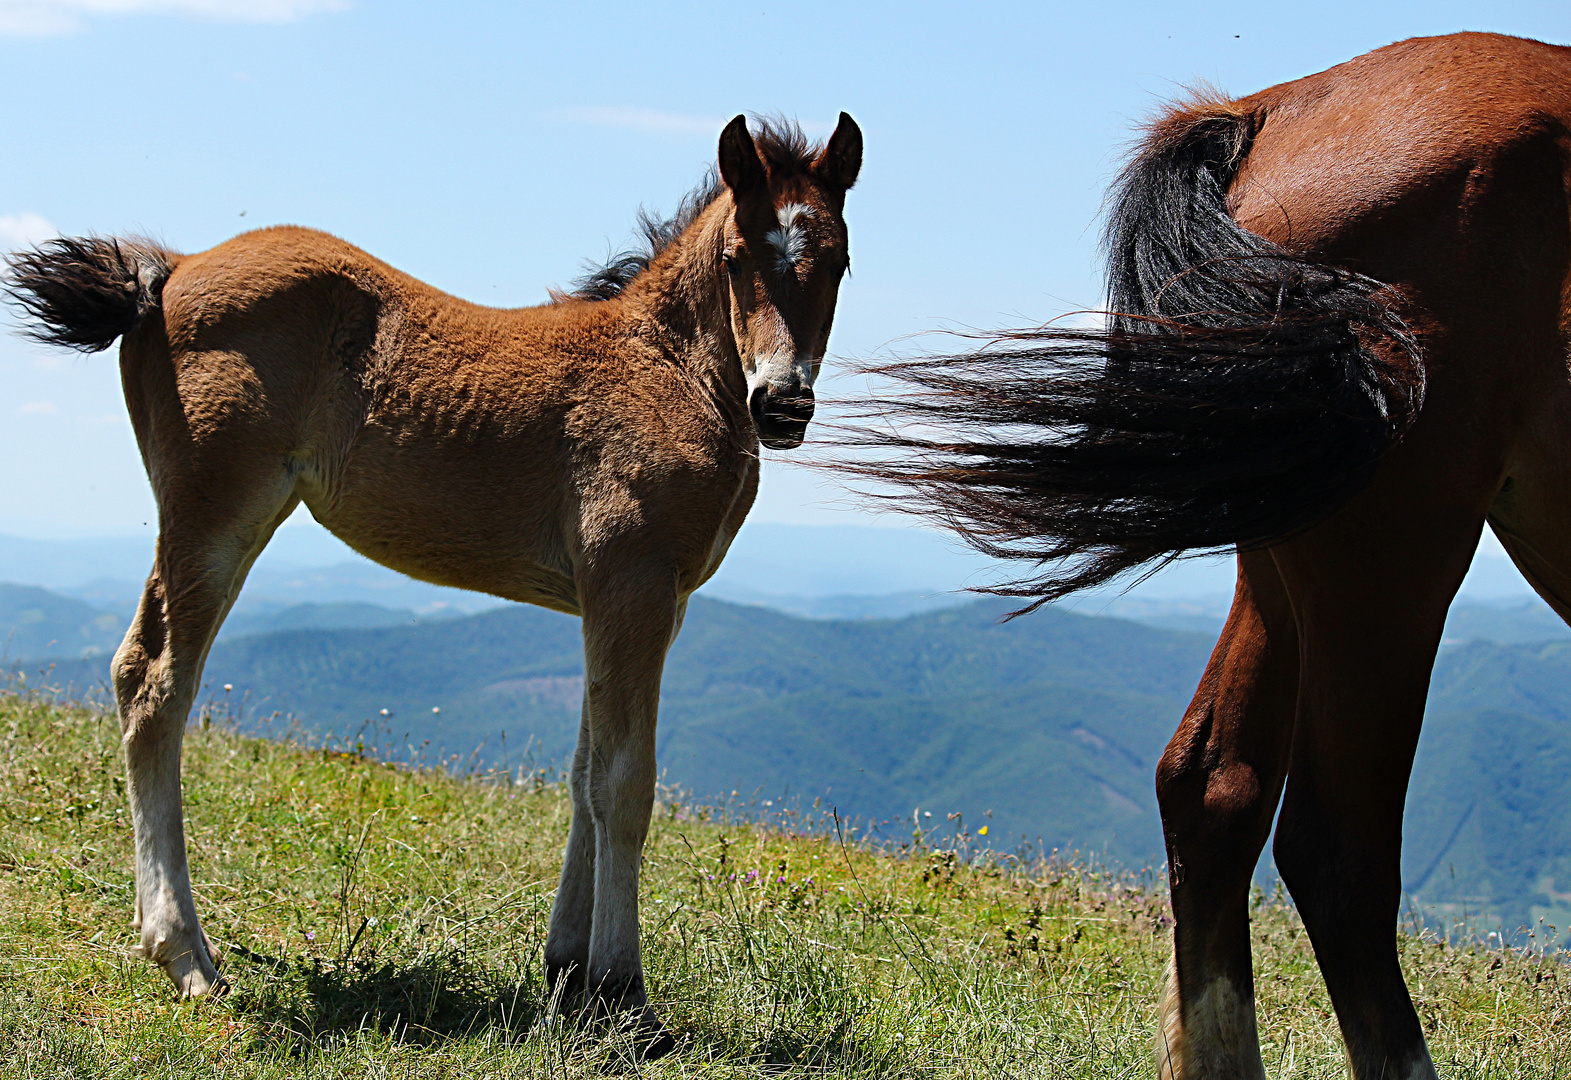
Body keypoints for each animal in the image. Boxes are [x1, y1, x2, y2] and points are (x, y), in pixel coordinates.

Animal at [6, 111, 860, 1050]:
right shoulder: (631, 585)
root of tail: (173, 267)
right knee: (156, 683)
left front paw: (569, 976)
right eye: (739, 256)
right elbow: (624, 786)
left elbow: (582, 772)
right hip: (215, 515)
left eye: (840, 259)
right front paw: (625, 998)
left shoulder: (633, 603)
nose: (782, 404)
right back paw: (186, 955)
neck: (673, 369)